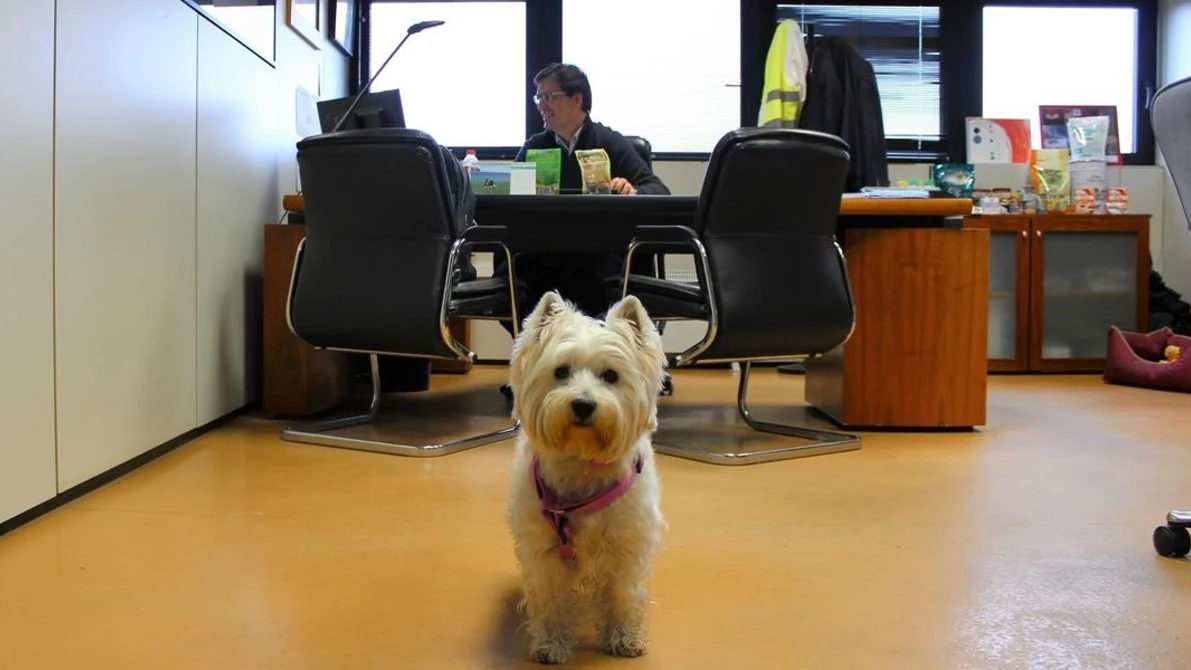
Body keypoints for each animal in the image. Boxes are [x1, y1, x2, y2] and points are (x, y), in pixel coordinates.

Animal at [504, 291, 666, 661]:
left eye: (611, 376)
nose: (582, 404)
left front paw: (624, 637)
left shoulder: (625, 546)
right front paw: (551, 644)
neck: (582, 462)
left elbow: (623, 594)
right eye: (561, 371)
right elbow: (550, 599)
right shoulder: (543, 550)